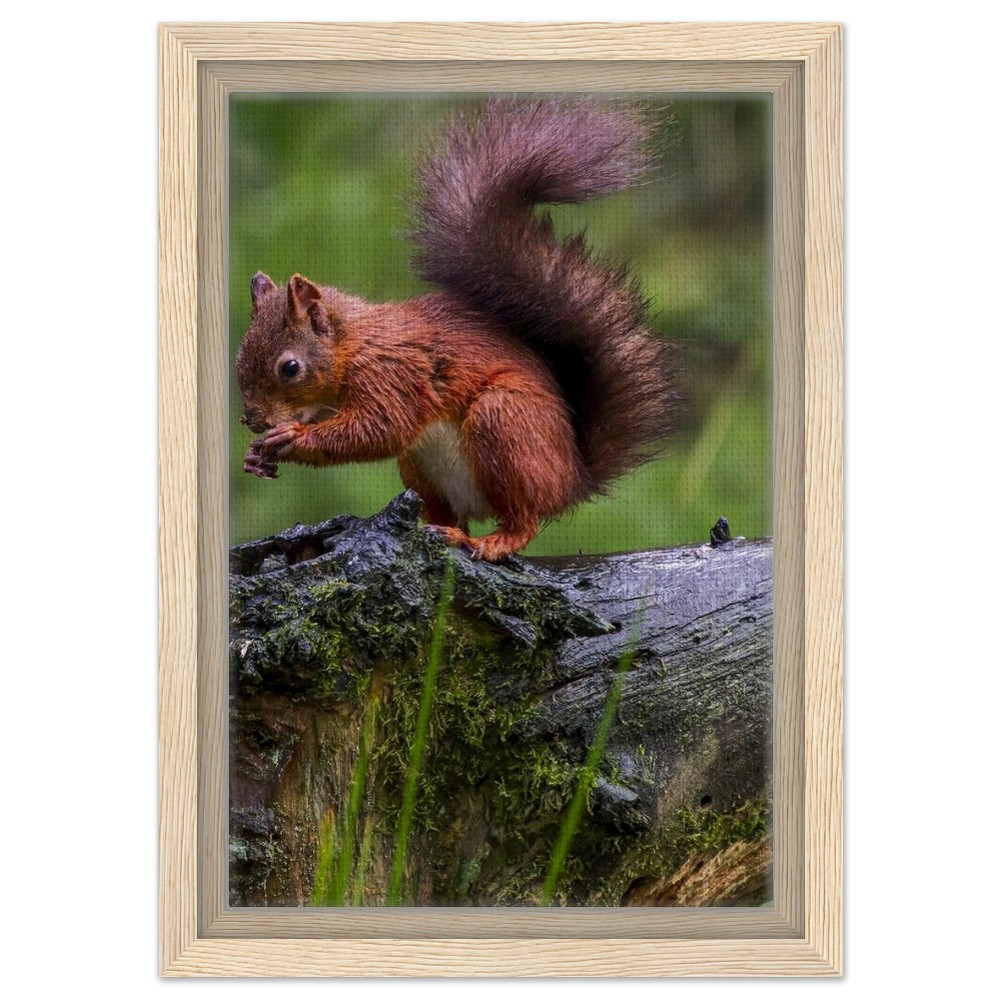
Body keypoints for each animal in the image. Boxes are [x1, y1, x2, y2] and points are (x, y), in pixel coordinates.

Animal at [237, 98, 678, 561]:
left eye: (289, 368)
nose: (252, 420)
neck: (354, 342)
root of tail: (573, 479)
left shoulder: (393, 373)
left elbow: (379, 428)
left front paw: (293, 437)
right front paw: (255, 457)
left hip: (507, 425)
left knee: (524, 518)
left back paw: (493, 540)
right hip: (420, 466)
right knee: (448, 511)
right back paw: (440, 528)